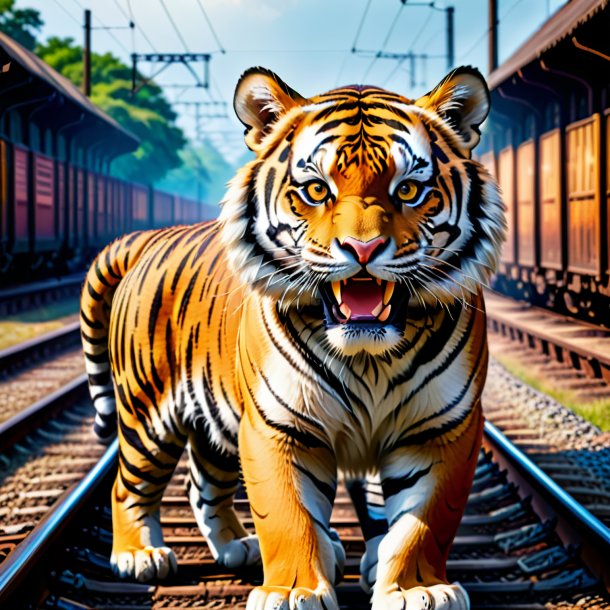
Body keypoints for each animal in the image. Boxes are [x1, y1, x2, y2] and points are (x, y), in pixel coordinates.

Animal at [81, 66, 504, 608]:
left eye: (408, 190)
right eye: (317, 190)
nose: (362, 248)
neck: (370, 357)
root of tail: (148, 238)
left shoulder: (441, 428)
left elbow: (423, 522)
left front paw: (414, 589)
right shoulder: (277, 425)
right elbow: (287, 513)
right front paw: (294, 590)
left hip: (213, 419)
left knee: (203, 482)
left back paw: (236, 546)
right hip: (147, 412)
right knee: (128, 484)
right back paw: (139, 556)